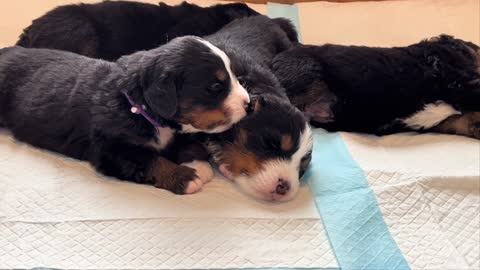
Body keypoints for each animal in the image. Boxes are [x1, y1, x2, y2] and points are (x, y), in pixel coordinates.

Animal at [0, 37, 248, 195]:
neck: (137, 106)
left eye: (235, 76)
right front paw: (185, 177)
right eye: (215, 86)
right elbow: (149, 159)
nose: (248, 103)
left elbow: (188, 144)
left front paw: (196, 163)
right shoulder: (109, 149)